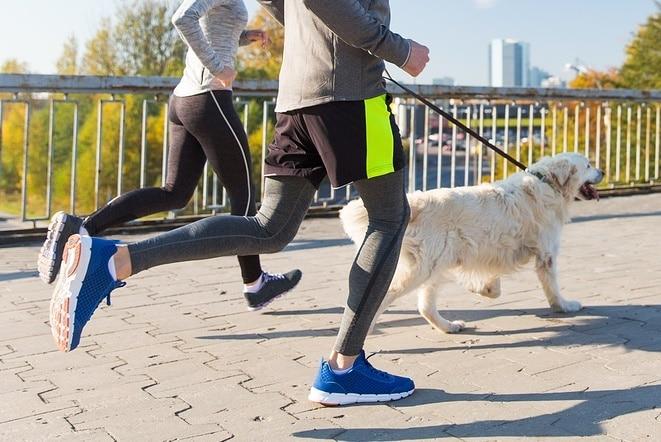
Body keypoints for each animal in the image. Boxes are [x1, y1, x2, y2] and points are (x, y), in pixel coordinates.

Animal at [340, 154, 604, 334]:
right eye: (588, 165)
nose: (603, 171)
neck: (548, 183)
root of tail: (417, 203)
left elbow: (493, 283)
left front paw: (484, 288)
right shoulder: (546, 253)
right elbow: (553, 287)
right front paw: (565, 306)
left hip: (435, 265)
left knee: (425, 306)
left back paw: (449, 326)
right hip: (422, 269)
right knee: (382, 297)